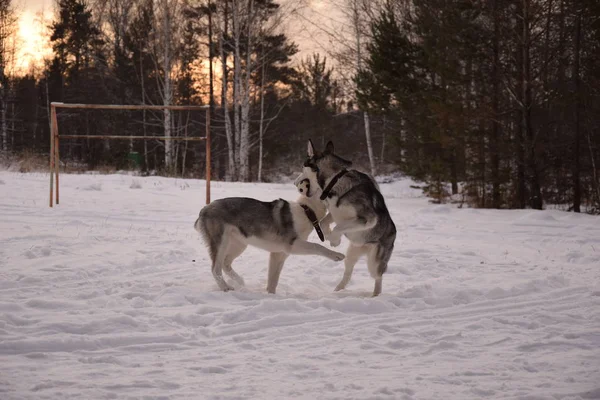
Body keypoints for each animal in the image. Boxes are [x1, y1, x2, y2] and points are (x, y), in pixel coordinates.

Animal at [195, 180, 344, 292]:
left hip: (240, 244)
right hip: (221, 243)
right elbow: (317, 246)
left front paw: (271, 296)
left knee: (226, 264)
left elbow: (273, 281)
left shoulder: (279, 254)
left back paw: (240, 281)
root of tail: (204, 209)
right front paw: (336, 255)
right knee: (215, 268)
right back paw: (226, 287)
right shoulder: (292, 245)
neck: (307, 211)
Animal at [298, 141, 396, 296]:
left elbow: (338, 227)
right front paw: (329, 236)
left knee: (378, 277)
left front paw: (334, 240)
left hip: (374, 263)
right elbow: (324, 222)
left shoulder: (368, 219)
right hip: (350, 255)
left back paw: (375, 296)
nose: (296, 183)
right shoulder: (334, 213)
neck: (334, 181)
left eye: (303, 167)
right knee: (348, 273)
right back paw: (338, 290)